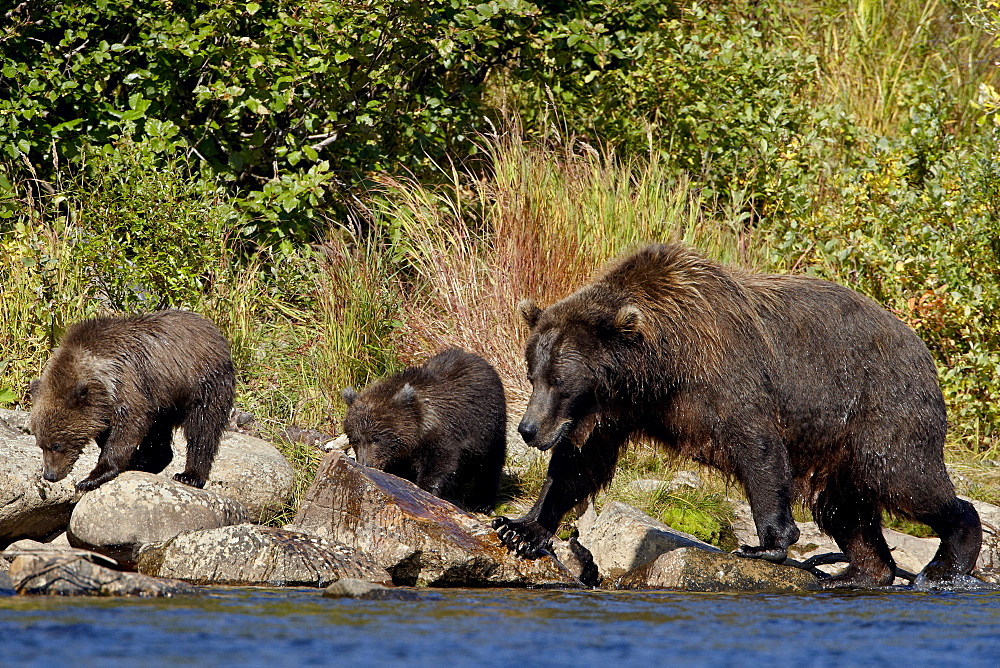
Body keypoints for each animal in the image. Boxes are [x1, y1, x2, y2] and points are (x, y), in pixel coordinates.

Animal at [29, 310, 236, 490]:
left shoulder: (128, 381)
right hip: (164, 402)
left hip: (203, 383)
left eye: (57, 444)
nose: (50, 475)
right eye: (41, 444)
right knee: (160, 432)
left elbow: (128, 426)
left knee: (203, 429)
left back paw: (189, 475)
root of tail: (215, 331)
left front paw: (91, 478)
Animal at [496, 243, 980, 588]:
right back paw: (858, 574)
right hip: (838, 443)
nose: (528, 429)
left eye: (560, 380)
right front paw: (520, 529)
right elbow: (579, 464)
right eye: (534, 372)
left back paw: (946, 562)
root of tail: (921, 346)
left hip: (878, 407)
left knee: (904, 477)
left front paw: (766, 544)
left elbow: (756, 444)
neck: (658, 365)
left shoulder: (722, 371)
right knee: (845, 508)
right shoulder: (616, 408)